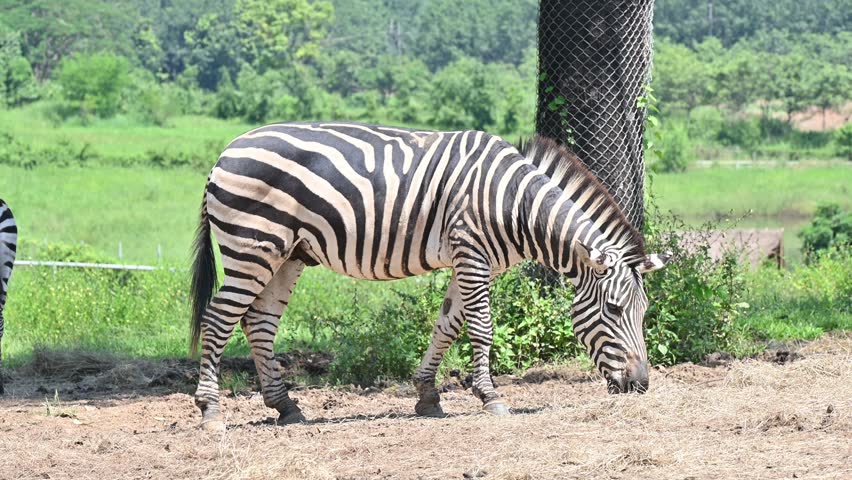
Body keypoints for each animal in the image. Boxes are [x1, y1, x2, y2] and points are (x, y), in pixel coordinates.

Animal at [189, 122, 671, 430]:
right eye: (614, 309)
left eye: (645, 311)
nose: (642, 385)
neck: (515, 205)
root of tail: (226, 151)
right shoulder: (472, 253)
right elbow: (482, 327)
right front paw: (491, 397)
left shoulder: (468, 260)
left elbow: (447, 324)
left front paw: (427, 395)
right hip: (253, 245)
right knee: (219, 319)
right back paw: (211, 411)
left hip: (287, 253)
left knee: (259, 322)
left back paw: (285, 407)